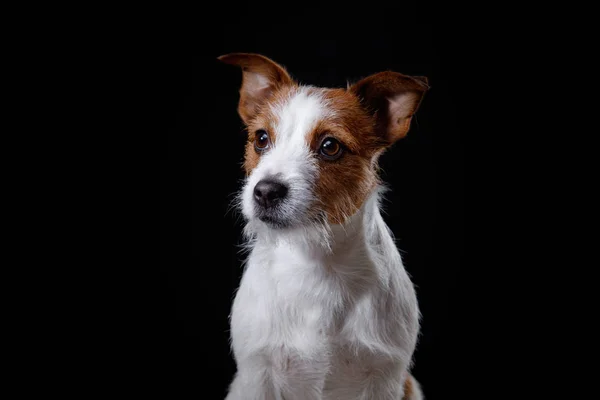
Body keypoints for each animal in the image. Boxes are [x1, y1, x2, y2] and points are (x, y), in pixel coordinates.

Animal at [218, 54, 428, 400]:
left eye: (330, 146)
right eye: (261, 139)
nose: (265, 192)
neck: (316, 262)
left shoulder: (384, 377)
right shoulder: (258, 374)